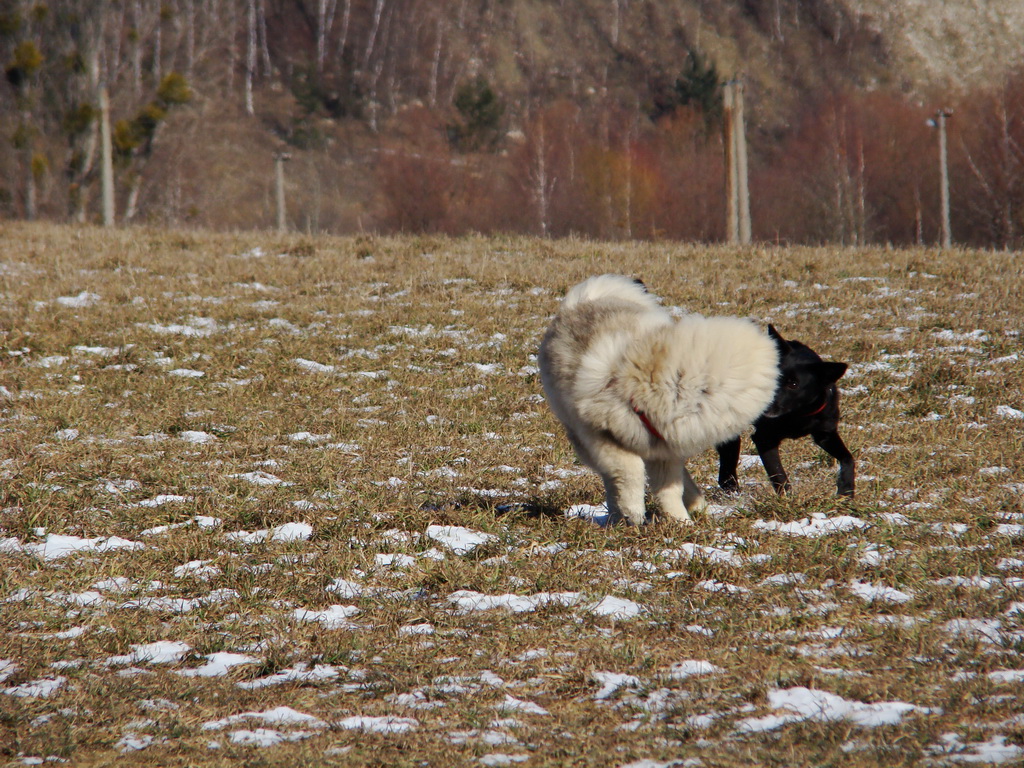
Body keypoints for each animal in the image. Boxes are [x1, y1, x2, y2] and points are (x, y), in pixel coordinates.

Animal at [540, 274, 778, 528]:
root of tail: (581, 302)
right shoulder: (599, 434)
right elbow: (630, 471)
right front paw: (634, 511)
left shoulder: (664, 448)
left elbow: (669, 489)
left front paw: (680, 522)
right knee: (611, 477)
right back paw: (618, 515)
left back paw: (696, 505)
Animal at [720, 325, 856, 499]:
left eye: (793, 384)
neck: (796, 415)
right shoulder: (764, 438)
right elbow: (778, 474)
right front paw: (788, 499)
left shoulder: (825, 434)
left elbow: (848, 458)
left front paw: (846, 490)